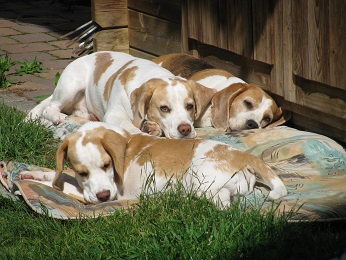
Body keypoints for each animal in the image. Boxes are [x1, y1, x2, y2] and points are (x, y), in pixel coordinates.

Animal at [20, 122, 288, 205]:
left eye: (107, 166)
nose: (104, 196)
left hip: (199, 181)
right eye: (82, 172)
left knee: (222, 202)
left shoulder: (114, 194)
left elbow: (65, 185)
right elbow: (62, 175)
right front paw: (37, 174)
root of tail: (247, 156)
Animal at [27, 51, 216, 139]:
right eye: (164, 108)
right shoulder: (114, 115)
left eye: (190, 106)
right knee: (50, 108)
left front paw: (150, 127)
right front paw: (141, 133)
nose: (185, 129)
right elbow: (131, 128)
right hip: (71, 85)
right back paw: (57, 116)